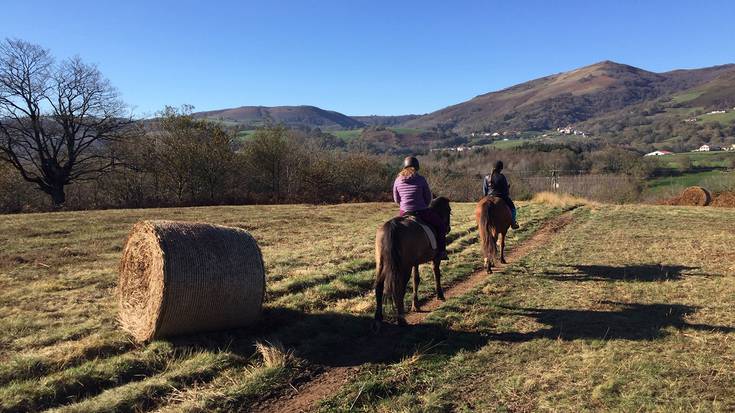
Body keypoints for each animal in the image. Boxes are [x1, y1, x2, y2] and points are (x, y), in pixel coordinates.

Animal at [374, 196, 454, 328]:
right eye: (448, 210)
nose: (448, 228)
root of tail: (392, 226)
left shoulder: (414, 262)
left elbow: (416, 279)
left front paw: (415, 305)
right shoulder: (435, 259)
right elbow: (436, 274)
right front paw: (440, 295)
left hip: (382, 264)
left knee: (379, 287)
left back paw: (378, 318)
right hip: (403, 267)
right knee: (399, 288)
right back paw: (401, 319)